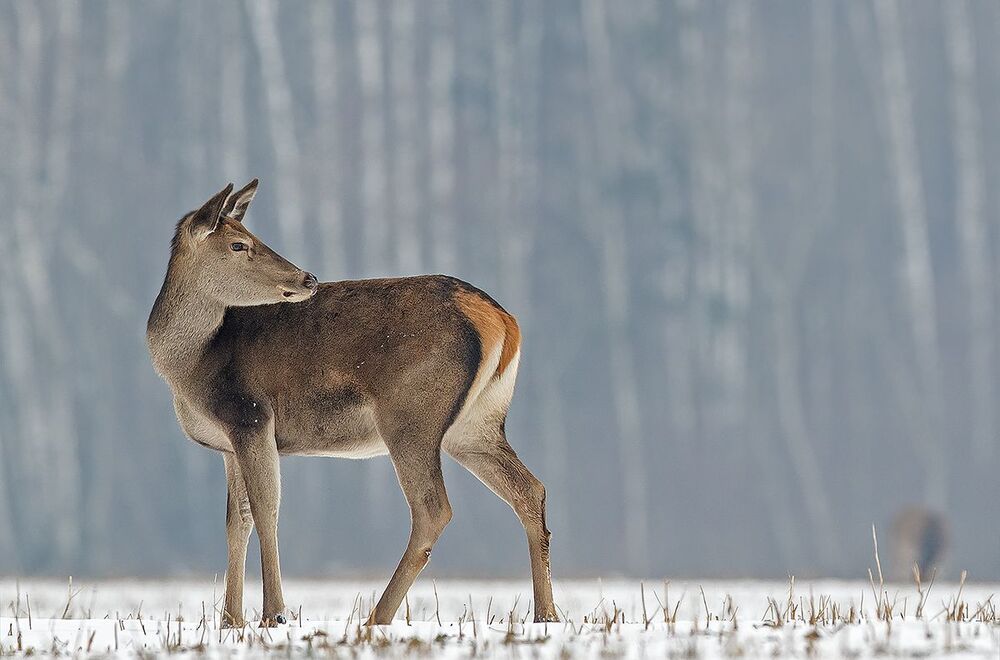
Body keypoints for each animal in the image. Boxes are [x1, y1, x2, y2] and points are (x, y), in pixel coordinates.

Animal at [146, 180, 557, 627]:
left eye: (250, 237)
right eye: (239, 244)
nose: (307, 277)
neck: (192, 366)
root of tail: (502, 320)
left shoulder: (251, 415)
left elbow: (265, 510)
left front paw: (274, 615)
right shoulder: (227, 443)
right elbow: (236, 522)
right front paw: (230, 621)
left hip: (411, 415)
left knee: (434, 509)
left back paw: (377, 615)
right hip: (477, 426)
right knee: (529, 490)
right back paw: (547, 614)